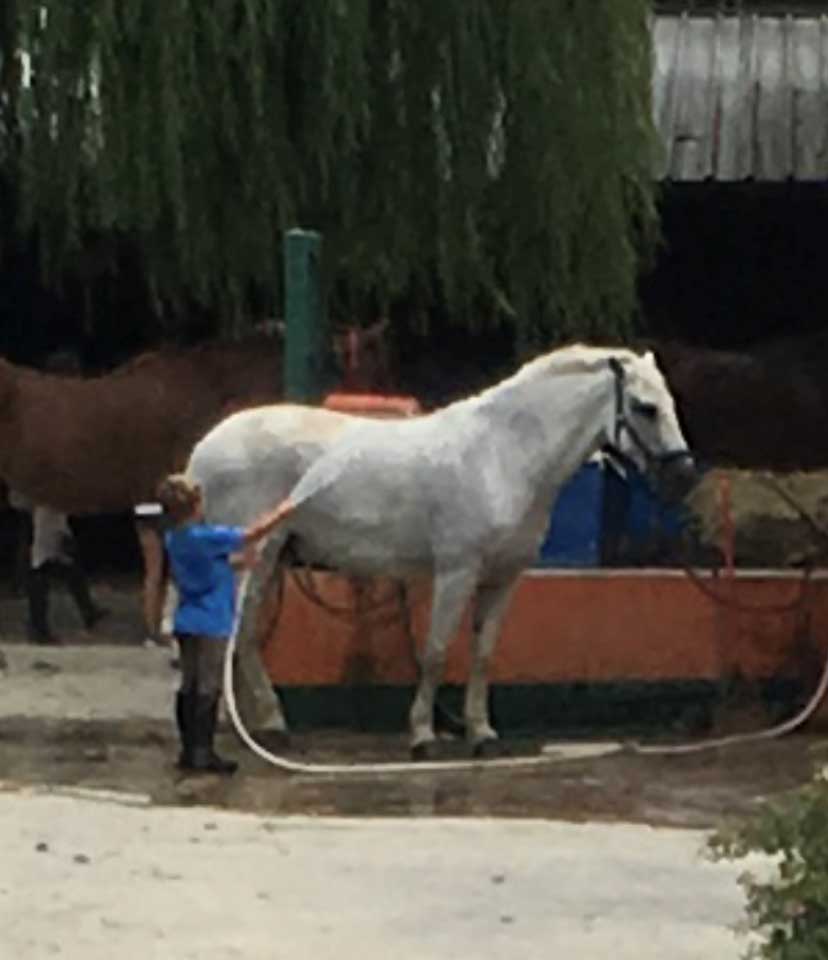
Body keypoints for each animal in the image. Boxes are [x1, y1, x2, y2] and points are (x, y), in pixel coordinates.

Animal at [188, 344, 697, 758]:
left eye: (670, 404)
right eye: (645, 407)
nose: (684, 477)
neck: (502, 456)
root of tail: (205, 449)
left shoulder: (503, 578)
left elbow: (483, 653)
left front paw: (480, 733)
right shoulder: (457, 571)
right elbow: (435, 651)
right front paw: (422, 735)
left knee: (241, 634)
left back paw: (261, 724)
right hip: (254, 556)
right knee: (231, 633)